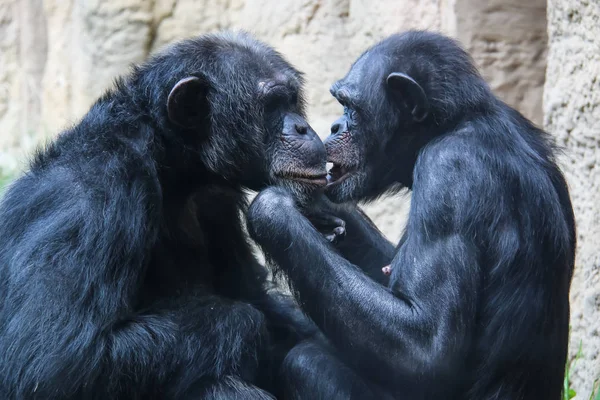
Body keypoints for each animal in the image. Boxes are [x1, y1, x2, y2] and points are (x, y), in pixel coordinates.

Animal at [0, 32, 328, 400]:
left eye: (292, 100)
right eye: (272, 104)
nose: (302, 128)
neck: (171, 161)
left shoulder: (216, 200)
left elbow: (253, 292)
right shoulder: (94, 188)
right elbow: (53, 360)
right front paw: (250, 324)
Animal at [247, 31, 576, 400]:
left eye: (352, 108)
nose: (333, 126)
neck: (450, 126)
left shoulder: (447, 174)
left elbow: (425, 350)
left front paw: (274, 210)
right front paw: (313, 206)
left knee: (306, 364)